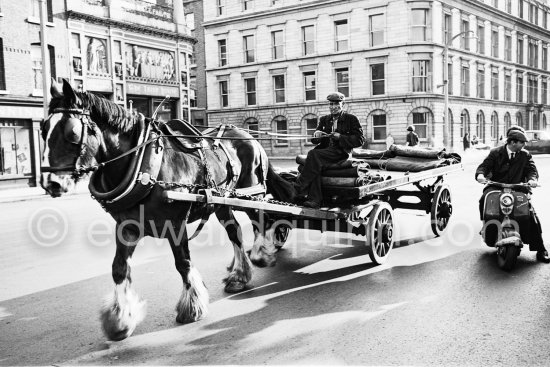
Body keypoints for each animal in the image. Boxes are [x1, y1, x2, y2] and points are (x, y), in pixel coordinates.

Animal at [40, 78, 296, 342]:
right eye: (42, 128)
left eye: (71, 132)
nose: (51, 183)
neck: (143, 164)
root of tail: (249, 136)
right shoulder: (127, 225)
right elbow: (119, 268)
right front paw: (120, 319)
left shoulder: (176, 222)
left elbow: (183, 263)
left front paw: (192, 306)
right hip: (223, 201)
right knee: (235, 231)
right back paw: (239, 274)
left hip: (252, 193)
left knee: (262, 221)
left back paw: (261, 254)